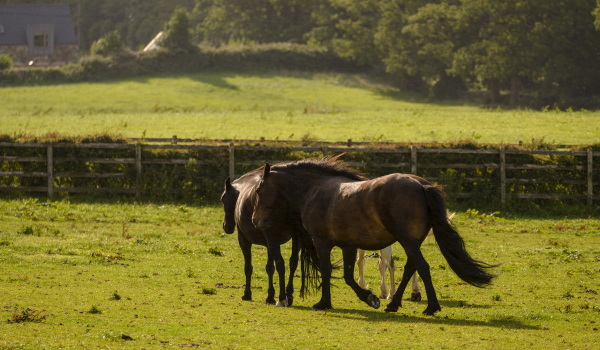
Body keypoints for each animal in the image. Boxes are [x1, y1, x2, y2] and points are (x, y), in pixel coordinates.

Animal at [251, 158, 500, 314]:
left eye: (259, 190)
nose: (255, 220)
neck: (315, 189)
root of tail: (420, 184)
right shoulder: (348, 246)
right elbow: (349, 276)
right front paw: (370, 297)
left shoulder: (323, 243)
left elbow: (328, 271)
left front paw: (324, 302)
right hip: (412, 242)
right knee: (410, 268)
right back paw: (394, 303)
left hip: (408, 242)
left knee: (421, 267)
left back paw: (431, 307)